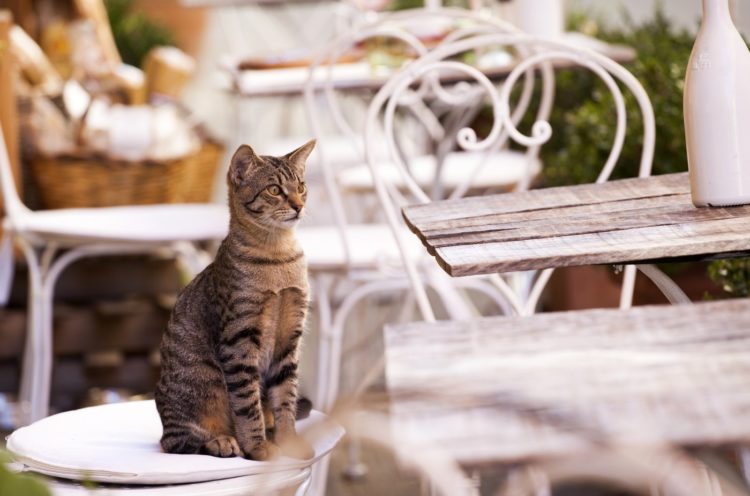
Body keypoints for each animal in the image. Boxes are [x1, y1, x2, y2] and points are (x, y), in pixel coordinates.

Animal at [154, 140, 316, 462]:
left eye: (301, 186)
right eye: (274, 190)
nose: (298, 205)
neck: (278, 257)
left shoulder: (289, 339)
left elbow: (286, 398)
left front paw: (288, 441)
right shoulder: (239, 340)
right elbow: (247, 403)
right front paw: (257, 447)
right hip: (200, 386)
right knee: (175, 442)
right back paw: (222, 441)